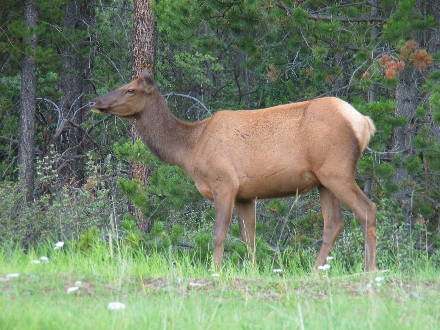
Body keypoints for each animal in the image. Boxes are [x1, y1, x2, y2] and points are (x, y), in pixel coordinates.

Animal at [90, 69, 378, 270]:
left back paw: (368, 270)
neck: (190, 148)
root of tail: (364, 122)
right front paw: (252, 271)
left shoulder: (224, 182)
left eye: (130, 90)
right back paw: (315, 271)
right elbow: (248, 238)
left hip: (336, 170)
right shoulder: (245, 194)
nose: (95, 101)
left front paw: (215, 271)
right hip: (322, 180)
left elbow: (219, 234)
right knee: (334, 223)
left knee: (367, 210)